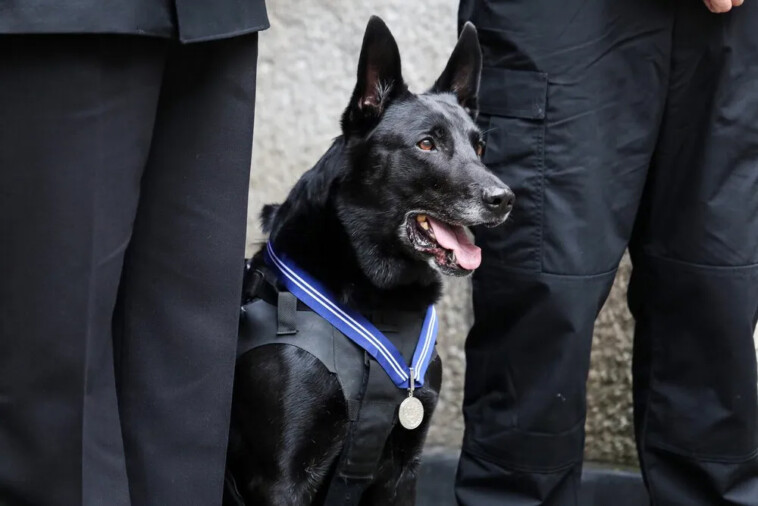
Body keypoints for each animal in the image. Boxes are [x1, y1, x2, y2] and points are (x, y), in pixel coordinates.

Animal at [223, 15, 512, 506]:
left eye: (479, 147)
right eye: (426, 144)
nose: (505, 199)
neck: (380, 302)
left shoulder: (404, 470)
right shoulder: (280, 480)